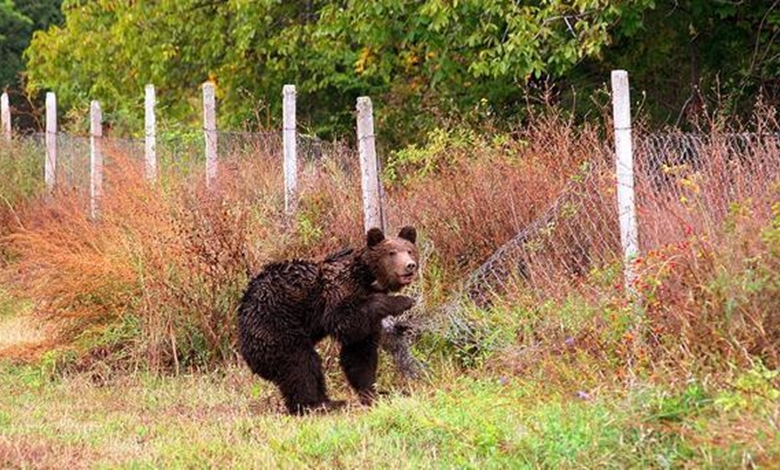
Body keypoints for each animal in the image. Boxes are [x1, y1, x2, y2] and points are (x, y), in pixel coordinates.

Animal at [239, 226, 418, 414]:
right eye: (392, 252)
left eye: (409, 250)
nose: (410, 266)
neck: (367, 277)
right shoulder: (339, 291)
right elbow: (344, 321)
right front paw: (404, 301)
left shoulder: (369, 319)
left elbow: (359, 352)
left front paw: (373, 392)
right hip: (276, 328)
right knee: (300, 364)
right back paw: (318, 404)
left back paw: (327, 400)